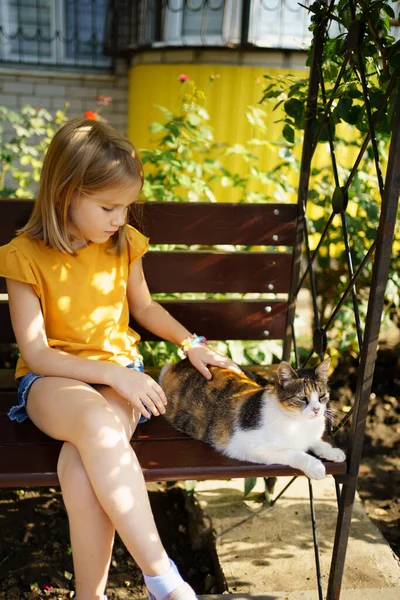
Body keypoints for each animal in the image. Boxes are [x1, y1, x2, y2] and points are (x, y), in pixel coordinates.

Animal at [159, 358, 346, 480]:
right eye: (302, 398)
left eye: (321, 396)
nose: (316, 410)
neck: (298, 423)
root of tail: (182, 362)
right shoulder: (244, 445)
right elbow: (293, 452)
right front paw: (315, 465)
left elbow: (317, 443)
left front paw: (333, 451)